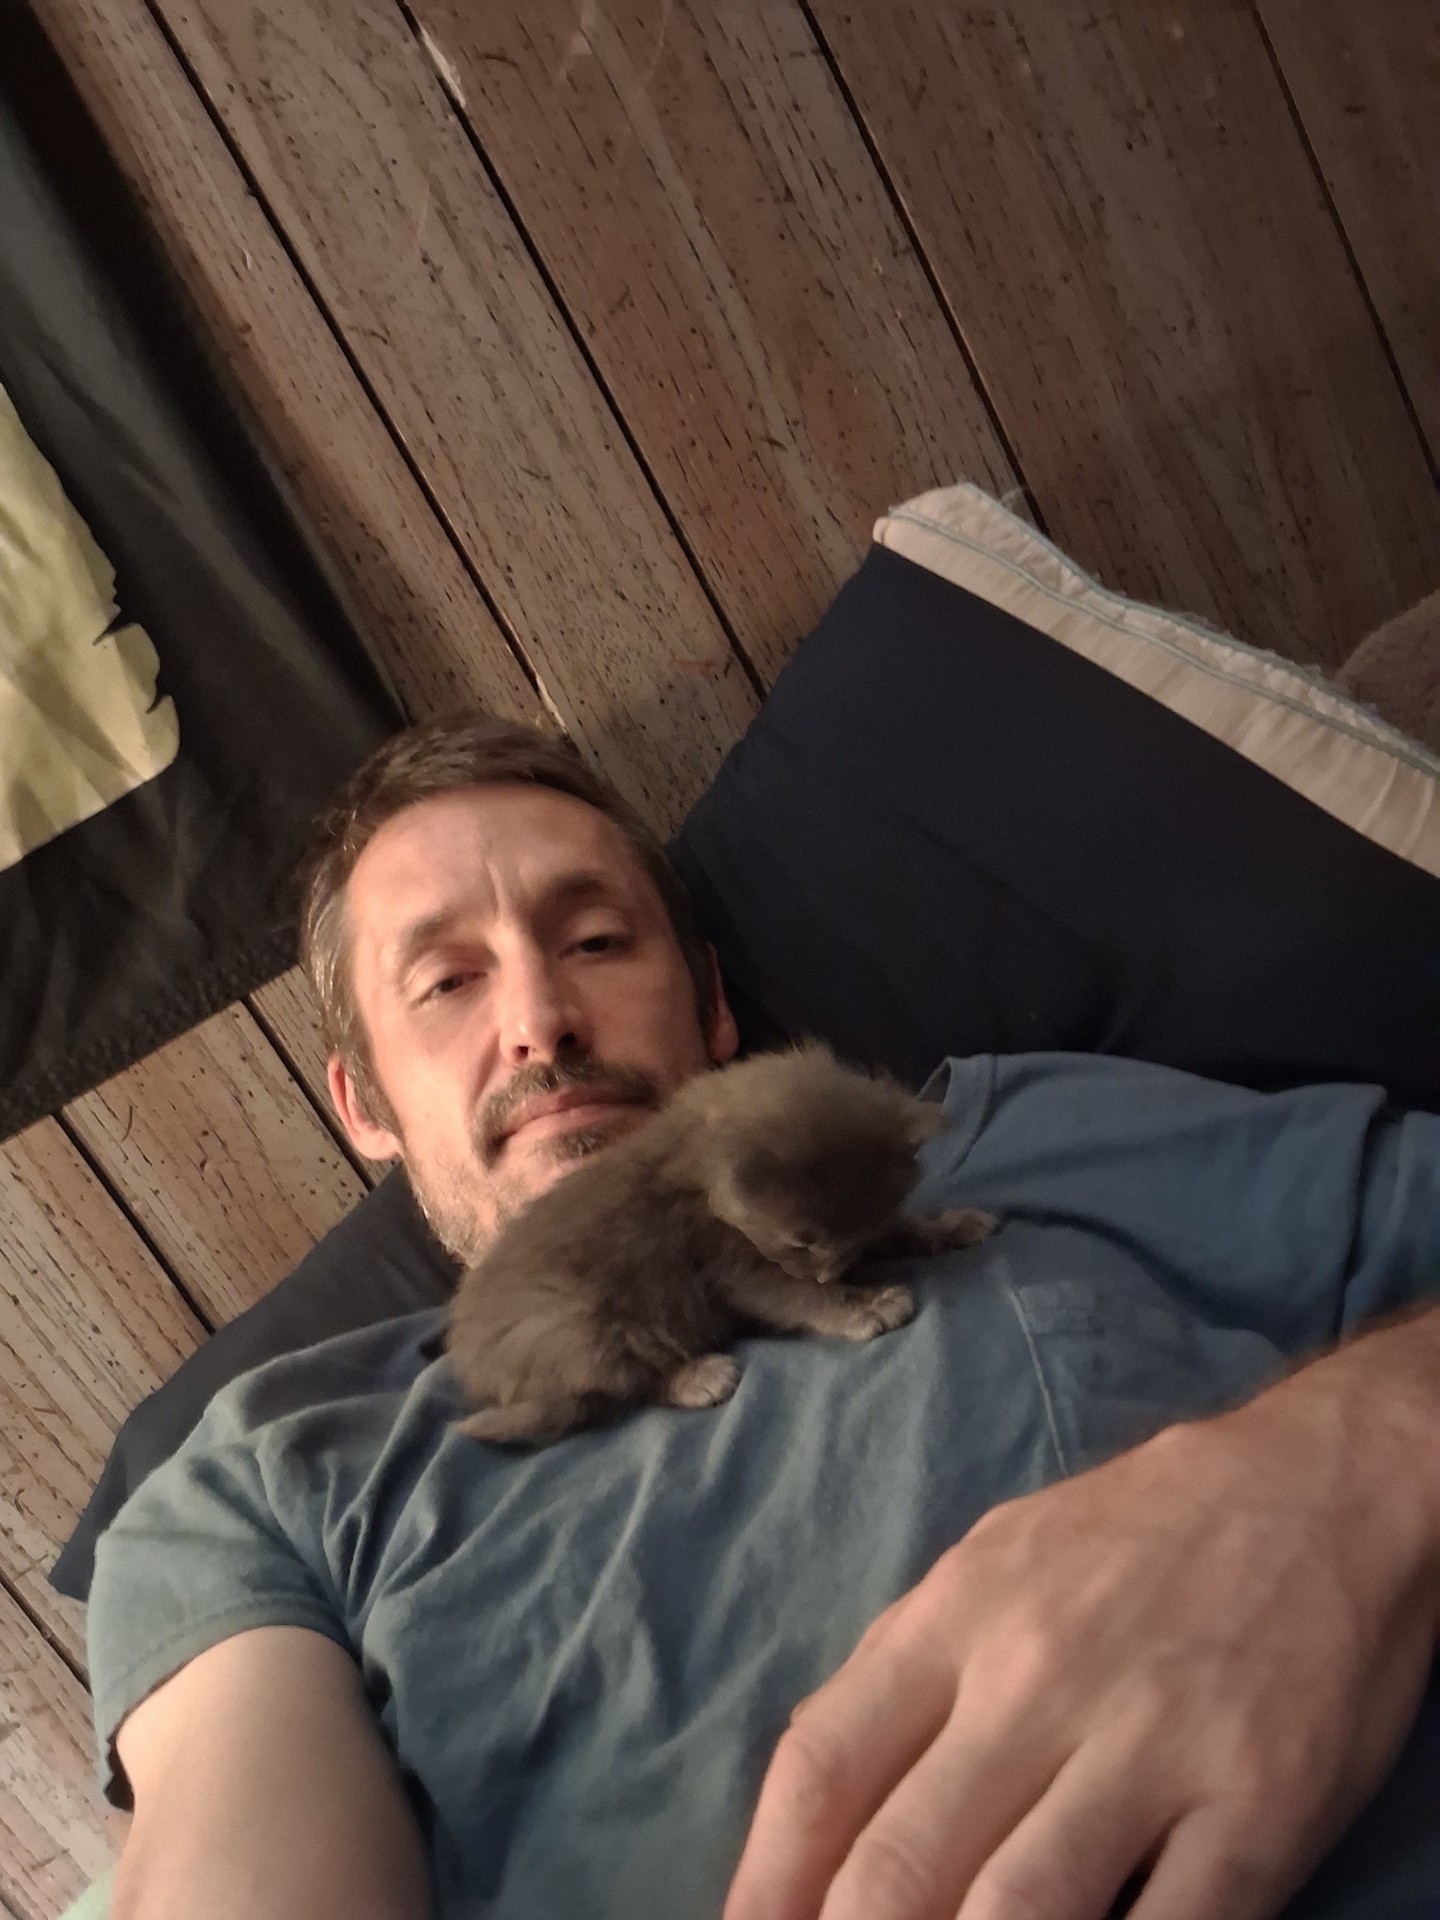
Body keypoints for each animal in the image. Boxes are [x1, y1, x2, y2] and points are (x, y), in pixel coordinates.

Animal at [447, 1043, 996, 1445]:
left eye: (851, 1240)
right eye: (801, 1243)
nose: (832, 1272)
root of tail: (481, 1370)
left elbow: (899, 1227)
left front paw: (952, 1224)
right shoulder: (728, 1265)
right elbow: (796, 1296)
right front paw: (864, 1305)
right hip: (575, 1326)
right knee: (625, 1386)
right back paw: (699, 1377)